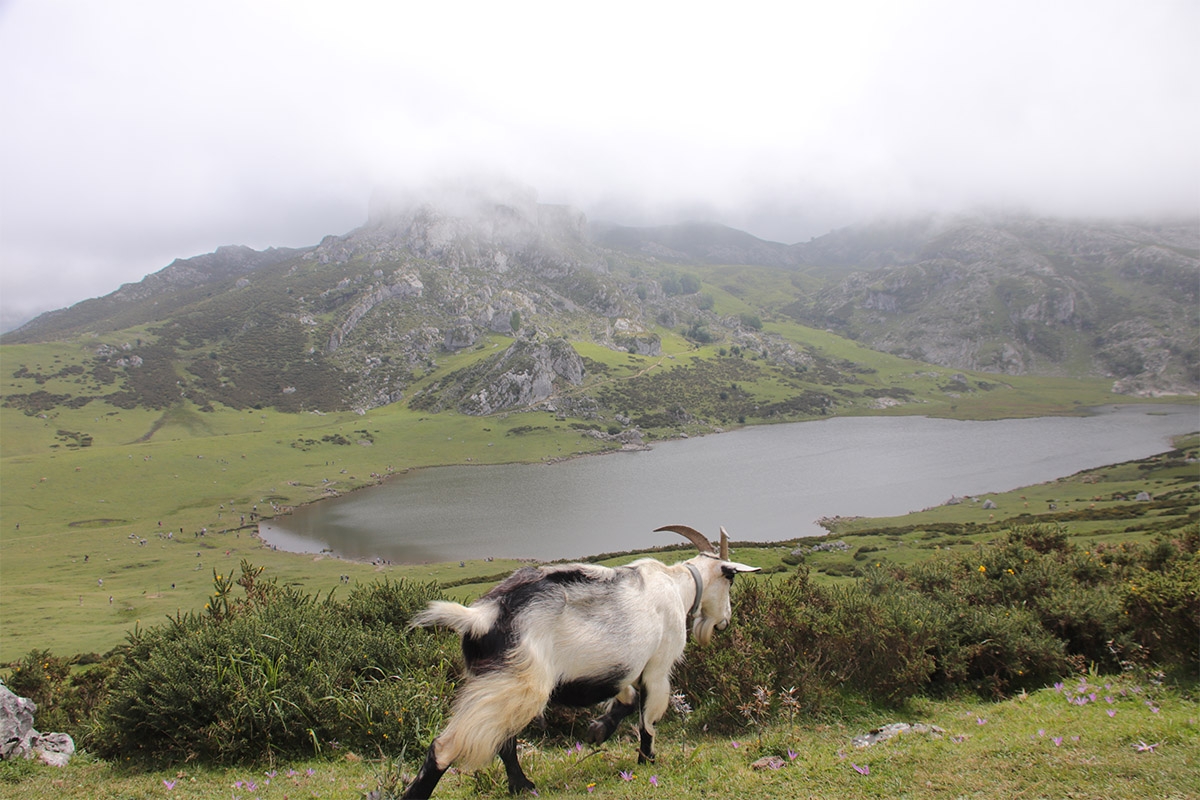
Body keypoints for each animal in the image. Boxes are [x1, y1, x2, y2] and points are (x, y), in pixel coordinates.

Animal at [403, 525, 758, 796]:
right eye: (730, 579)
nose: (724, 622)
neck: (678, 585)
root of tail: (481, 617)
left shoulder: (619, 669)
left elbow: (627, 699)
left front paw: (597, 731)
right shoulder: (658, 666)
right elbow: (648, 718)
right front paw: (647, 760)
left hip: (498, 685)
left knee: (504, 741)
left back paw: (522, 786)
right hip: (518, 684)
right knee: (447, 746)